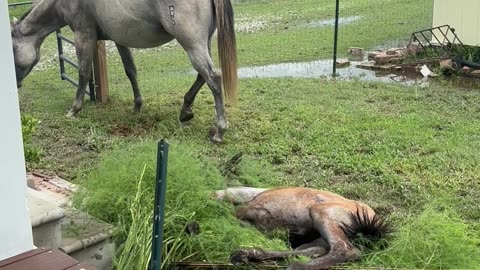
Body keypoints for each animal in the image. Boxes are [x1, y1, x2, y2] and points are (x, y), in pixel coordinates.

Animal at [10, 0, 237, 143]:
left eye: (11, 48)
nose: (16, 83)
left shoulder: (84, 35)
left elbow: (83, 72)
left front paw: (74, 109)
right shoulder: (119, 40)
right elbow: (131, 71)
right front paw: (137, 106)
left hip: (192, 44)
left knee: (213, 77)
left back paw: (220, 131)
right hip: (202, 42)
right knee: (202, 76)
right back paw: (185, 110)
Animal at [214, 188, 390, 270]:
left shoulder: (254, 210)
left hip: (320, 212)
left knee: (346, 249)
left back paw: (295, 266)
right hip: (321, 235)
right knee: (310, 249)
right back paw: (247, 254)